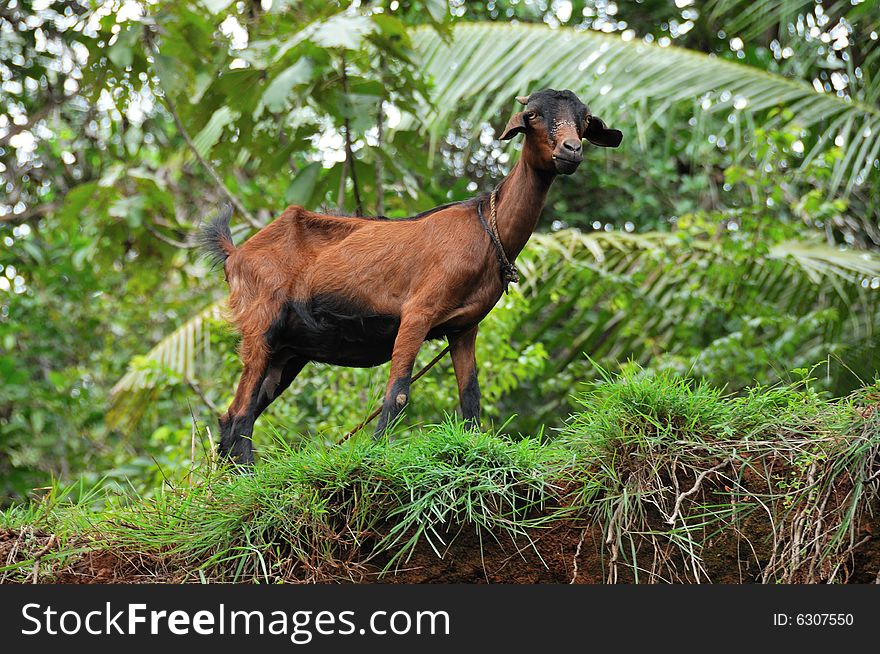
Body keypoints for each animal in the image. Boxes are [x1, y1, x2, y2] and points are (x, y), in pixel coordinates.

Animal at [203, 89, 624, 464]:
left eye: (585, 119)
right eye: (533, 115)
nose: (571, 150)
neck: (487, 228)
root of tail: (235, 254)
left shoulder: (464, 327)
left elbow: (470, 398)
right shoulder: (418, 312)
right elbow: (398, 392)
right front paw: (374, 458)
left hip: (289, 350)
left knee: (234, 416)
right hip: (262, 322)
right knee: (240, 413)